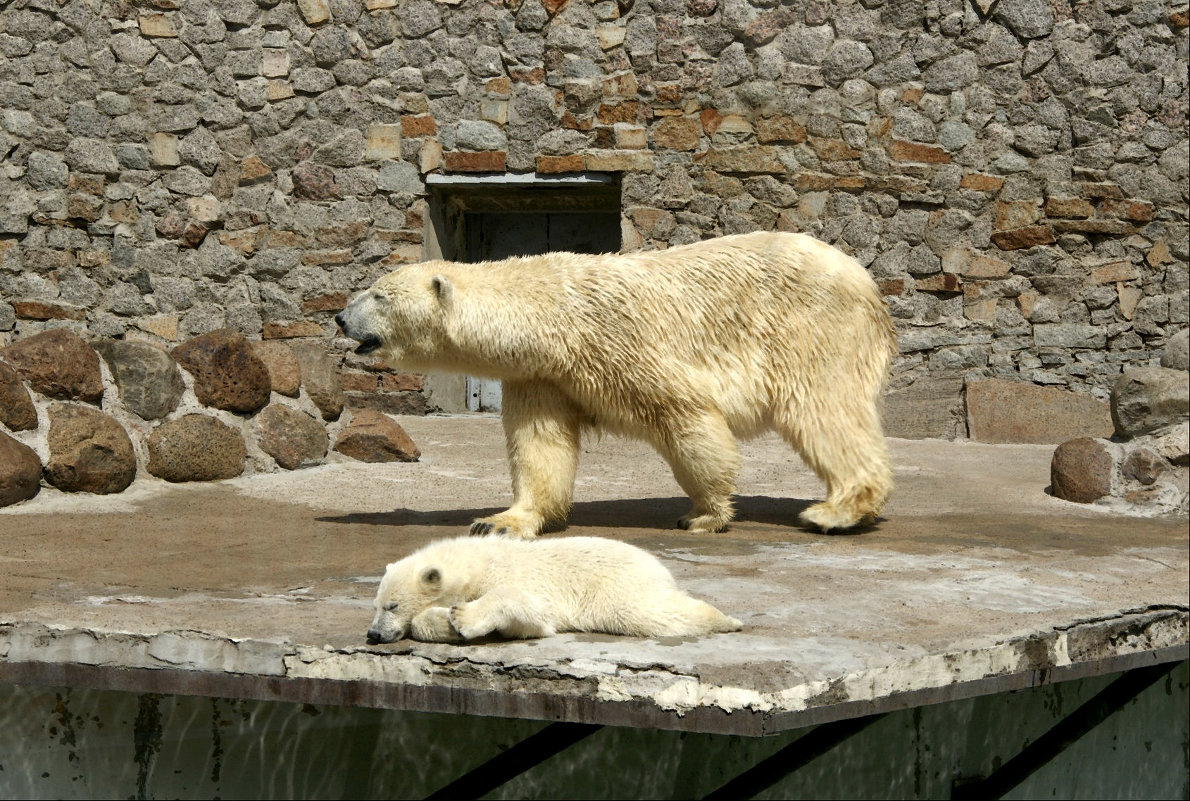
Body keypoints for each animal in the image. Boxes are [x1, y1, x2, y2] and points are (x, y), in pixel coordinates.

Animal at [335, 228, 894, 533]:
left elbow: (688, 418)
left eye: (378, 295)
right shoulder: (541, 374)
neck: (553, 316)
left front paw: (704, 513)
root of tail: (868, 283)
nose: (340, 318)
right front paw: (499, 520)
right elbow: (541, 444)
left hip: (814, 331)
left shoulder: (623, 345)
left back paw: (834, 511)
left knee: (823, 411)